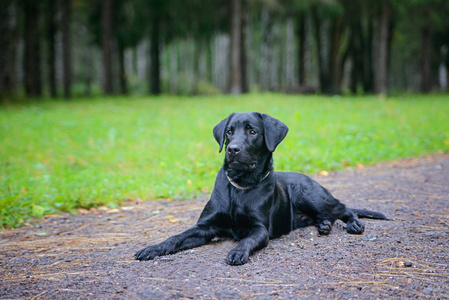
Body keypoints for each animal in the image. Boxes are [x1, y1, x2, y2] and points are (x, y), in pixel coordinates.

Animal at [135, 112, 386, 264]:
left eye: (252, 131)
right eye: (229, 131)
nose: (232, 149)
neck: (240, 186)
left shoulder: (260, 229)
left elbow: (247, 240)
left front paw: (237, 251)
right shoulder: (205, 227)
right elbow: (176, 237)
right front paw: (153, 248)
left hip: (311, 196)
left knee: (343, 208)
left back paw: (353, 223)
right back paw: (323, 225)